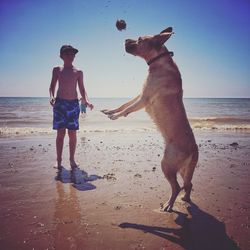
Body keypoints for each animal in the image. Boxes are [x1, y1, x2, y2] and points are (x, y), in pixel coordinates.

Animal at [100, 26, 198, 211]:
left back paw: (168, 205)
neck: (159, 61)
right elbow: (124, 104)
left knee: (176, 187)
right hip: (183, 170)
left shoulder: (144, 98)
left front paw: (115, 116)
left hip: (166, 164)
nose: (125, 39)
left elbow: (127, 109)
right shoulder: (140, 94)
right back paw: (186, 199)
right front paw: (110, 110)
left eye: (139, 39)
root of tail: (193, 150)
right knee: (188, 185)